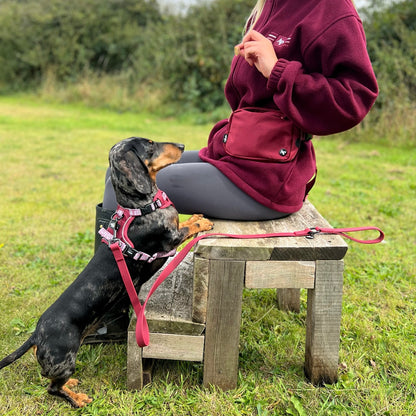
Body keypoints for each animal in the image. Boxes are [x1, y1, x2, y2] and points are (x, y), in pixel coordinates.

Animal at [0, 136, 213, 406]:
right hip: (65, 360)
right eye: (150, 144)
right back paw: (78, 399)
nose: (183, 146)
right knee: (52, 388)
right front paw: (202, 222)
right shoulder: (170, 240)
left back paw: (72, 385)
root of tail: (36, 335)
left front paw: (195, 216)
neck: (141, 207)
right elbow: (186, 229)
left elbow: (184, 221)